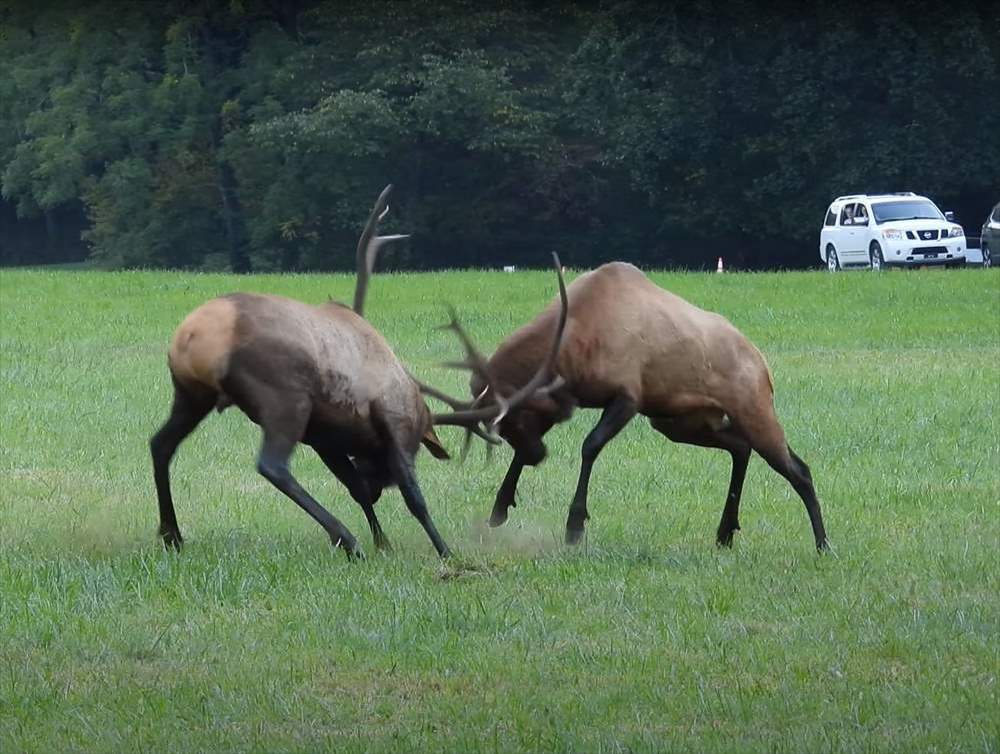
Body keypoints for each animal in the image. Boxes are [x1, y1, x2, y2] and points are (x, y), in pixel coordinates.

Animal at [149, 184, 516, 556]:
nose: (378, 486)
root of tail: (193, 335)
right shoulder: (391, 421)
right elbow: (414, 498)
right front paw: (445, 551)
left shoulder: (324, 436)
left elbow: (354, 488)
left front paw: (383, 542)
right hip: (284, 398)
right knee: (272, 465)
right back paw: (346, 538)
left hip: (192, 393)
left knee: (160, 443)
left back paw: (172, 534)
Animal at [430, 262, 828, 548]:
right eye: (504, 426)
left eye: (517, 418)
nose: (537, 454)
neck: (575, 348)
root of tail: (762, 362)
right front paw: (499, 508)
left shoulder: (628, 396)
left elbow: (590, 446)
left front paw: (574, 525)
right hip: (680, 421)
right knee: (740, 446)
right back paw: (725, 531)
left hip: (753, 408)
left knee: (799, 469)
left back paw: (823, 544)